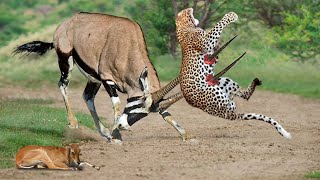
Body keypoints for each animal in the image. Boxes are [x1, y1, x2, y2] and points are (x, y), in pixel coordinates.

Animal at [176, 7, 292, 139]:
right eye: (186, 10)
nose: (190, 8)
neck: (184, 26)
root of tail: (230, 115)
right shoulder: (205, 42)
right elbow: (217, 26)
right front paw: (231, 16)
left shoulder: (211, 51)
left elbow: (216, 43)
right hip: (217, 95)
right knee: (237, 101)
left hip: (223, 81)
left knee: (243, 95)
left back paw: (255, 82)